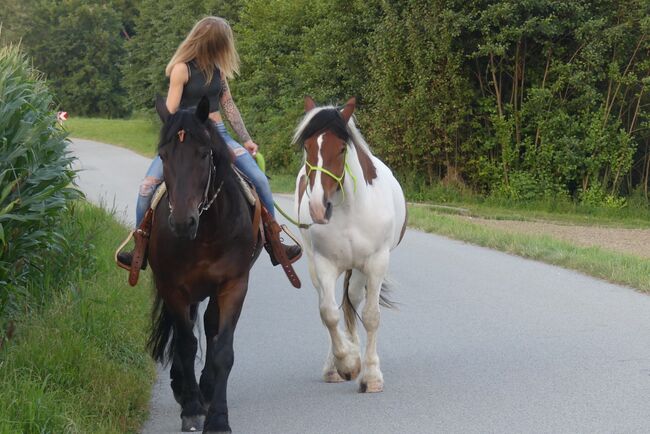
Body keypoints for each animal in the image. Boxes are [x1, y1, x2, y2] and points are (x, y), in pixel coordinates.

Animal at [147, 96, 260, 432]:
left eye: (203, 153)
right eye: (163, 155)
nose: (183, 223)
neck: (207, 232)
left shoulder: (234, 284)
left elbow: (223, 349)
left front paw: (219, 417)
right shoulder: (173, 287)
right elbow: (186, 343)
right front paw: (192, 408)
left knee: (209, 326)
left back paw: (206, 387)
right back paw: (185, 388)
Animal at [294, 96, 404, 392]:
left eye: (342, 148)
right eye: (307, 146)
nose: (318, 207)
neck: (351, 210)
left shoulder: (376, 263)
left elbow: (371, 316)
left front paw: (371, 375)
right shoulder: (324, 264)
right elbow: (328, 314)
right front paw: (347, 363)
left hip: (360, 269)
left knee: (352, 300)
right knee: (334, 305)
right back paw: (338, 361)